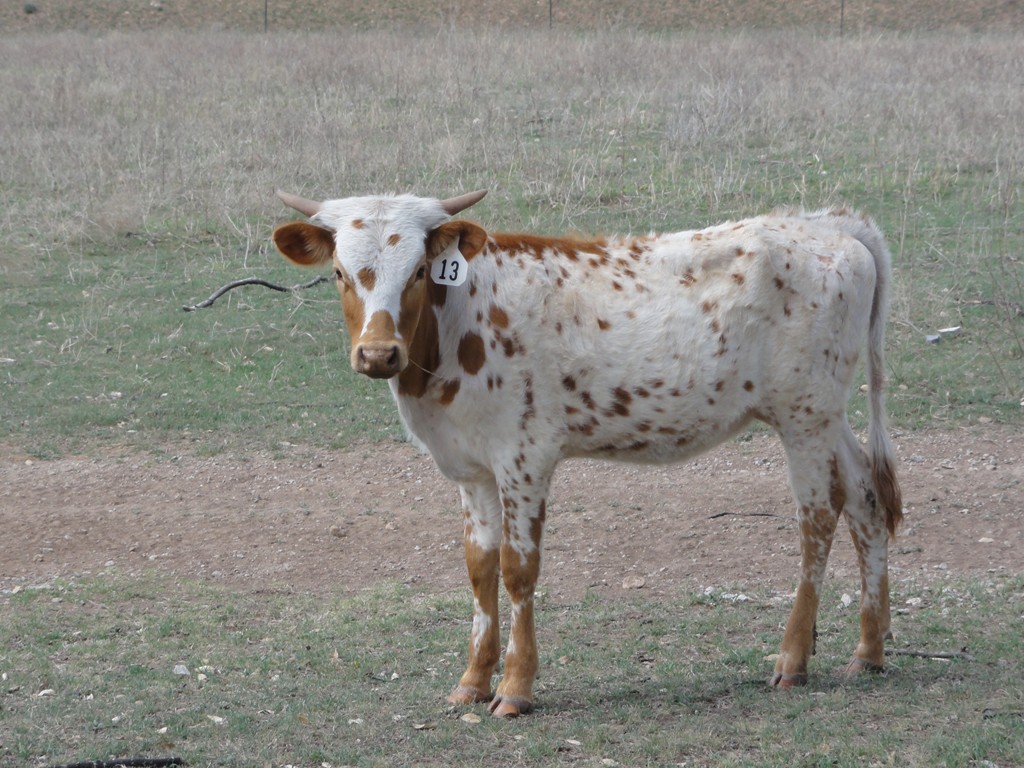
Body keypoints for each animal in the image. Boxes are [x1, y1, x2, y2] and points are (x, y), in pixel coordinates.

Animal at [272, 189, 903, 718]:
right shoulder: (471, 467)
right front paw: (473, 680)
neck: (459, 323)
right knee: (865, 499)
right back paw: (869, 650)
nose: (379, 354)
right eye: (339, 273)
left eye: (420, 271)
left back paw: (793, 659)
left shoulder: (524, 457)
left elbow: (518, 569)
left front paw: (515, 688)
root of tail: (829, 224)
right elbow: (479, 567)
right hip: (827, 415)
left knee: (818, 517)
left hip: (804, 416)